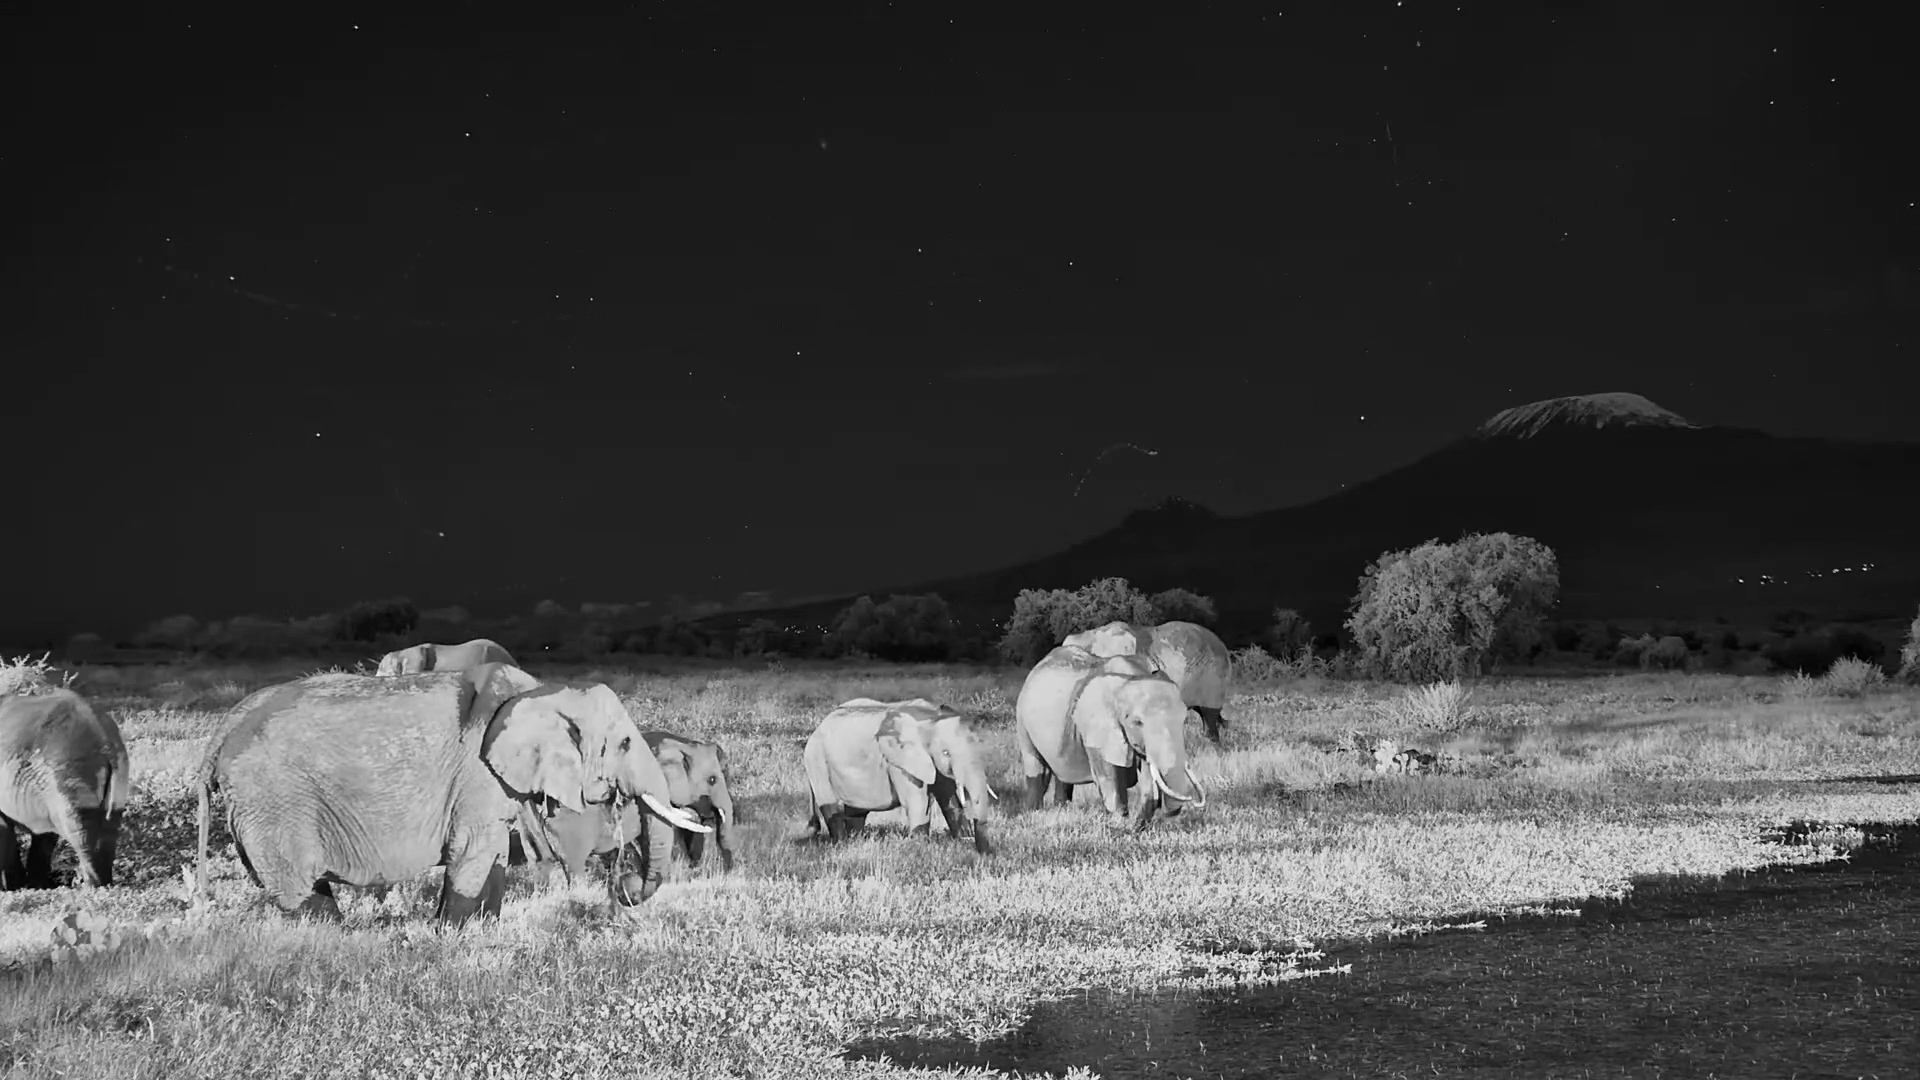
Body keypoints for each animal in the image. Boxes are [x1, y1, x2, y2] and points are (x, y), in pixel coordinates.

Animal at [1, 690, 130, 891]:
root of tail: (106, 742)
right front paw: (37, 886)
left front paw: (15, 887)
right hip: (117, 776)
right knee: (109, 828)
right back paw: (106, 886)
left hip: (69, 772)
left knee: (81, 834)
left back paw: (92, 888)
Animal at [194, 662, 711, 923]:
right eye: (622, 744)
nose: (625, 887)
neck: (542, 691)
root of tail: (220, 734)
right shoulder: (477, 773)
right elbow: (472, 851)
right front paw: (452, 936)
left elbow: (492, 857)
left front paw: (478, 929)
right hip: (274, 802)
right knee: (298, 889)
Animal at [803, 698, 995, 854]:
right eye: (946, 752)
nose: (986, 854)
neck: (931, 718)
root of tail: (819, 726)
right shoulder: (900, 761)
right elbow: (917, 802)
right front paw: (920, 850)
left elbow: (948, 798)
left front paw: (963, 841)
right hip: (816, 760)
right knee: (830, 806)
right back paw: (843, 846)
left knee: (857, 812)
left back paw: (856, 842)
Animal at [1014, 644, 1207, 830]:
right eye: (1137, 722)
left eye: (1183, 719)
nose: (1191, 800)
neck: (1129, 679)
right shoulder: (1096, 731)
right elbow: (1109, 780)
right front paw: (1120, 827)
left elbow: (1148, 781)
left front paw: (1136, 828)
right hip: (1023, 723)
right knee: (1037, 771)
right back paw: (1034, 814)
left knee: (1063, 779)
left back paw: (1061, 810)